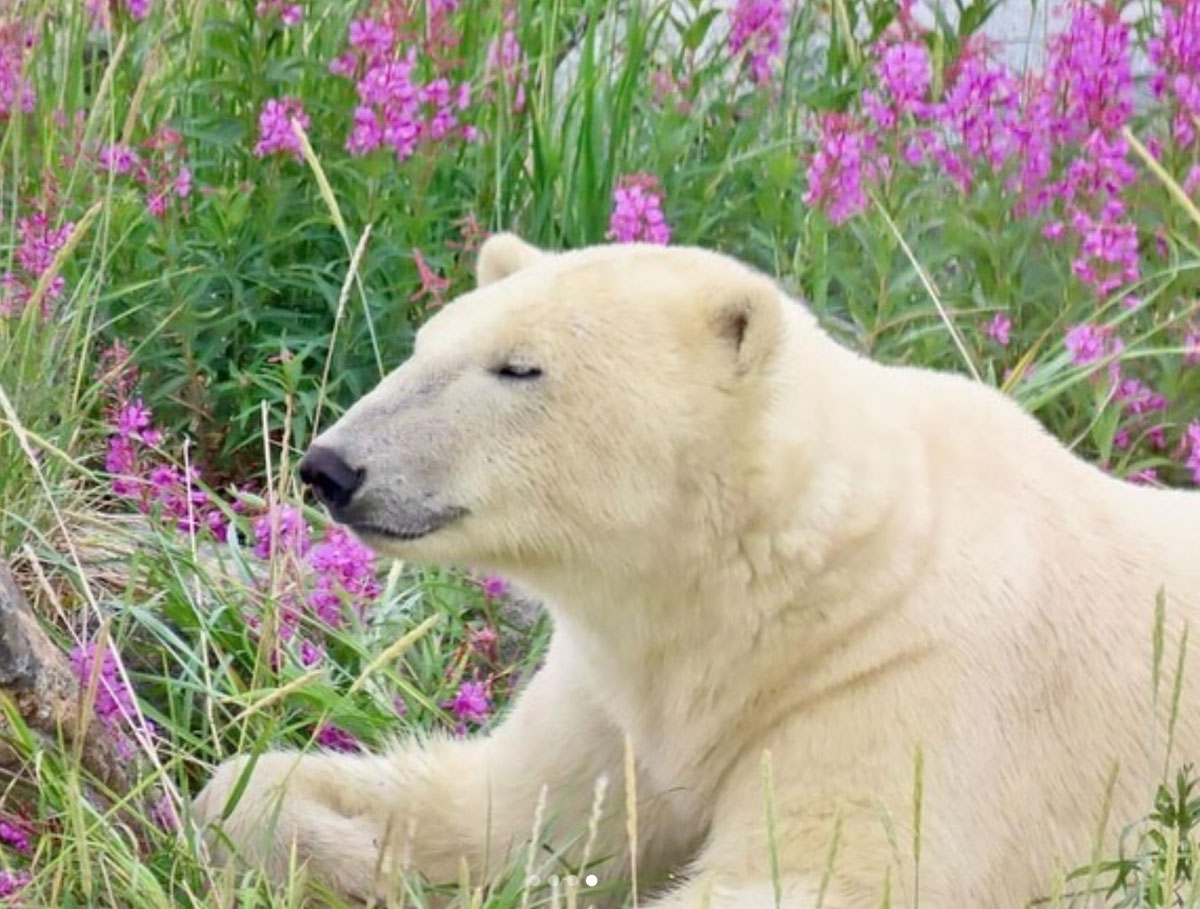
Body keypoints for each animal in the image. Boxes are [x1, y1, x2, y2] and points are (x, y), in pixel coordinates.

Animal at [193, 233, 1200, 908]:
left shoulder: (913, 685)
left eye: (519, 367)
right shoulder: (626, 692)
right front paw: (308, 827)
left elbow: (827, 873)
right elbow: (505, 815)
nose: (331, 466)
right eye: (422, 345)